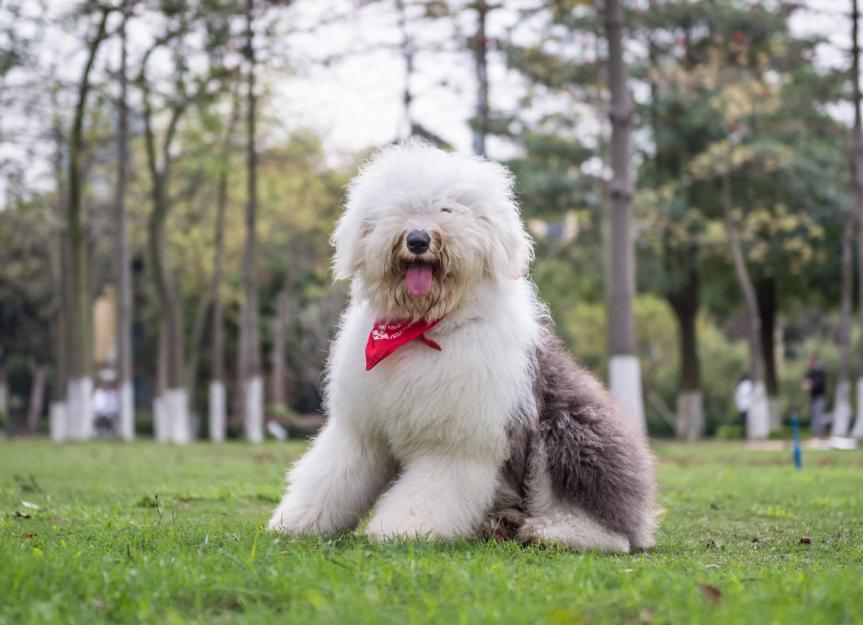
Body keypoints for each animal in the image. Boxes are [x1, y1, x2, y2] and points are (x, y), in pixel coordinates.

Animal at [270, 141, 660, 552]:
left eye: (448, 209)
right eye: (401, 207)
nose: (418, 240)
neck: (422, 330)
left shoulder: (456, 439)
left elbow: (431, 488)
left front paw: (405, 528)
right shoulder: (361, 428)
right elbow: (332, 475)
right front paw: (297, 521)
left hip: (570, 430)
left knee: (606, 525)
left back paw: (554, 531)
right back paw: (499, 524)